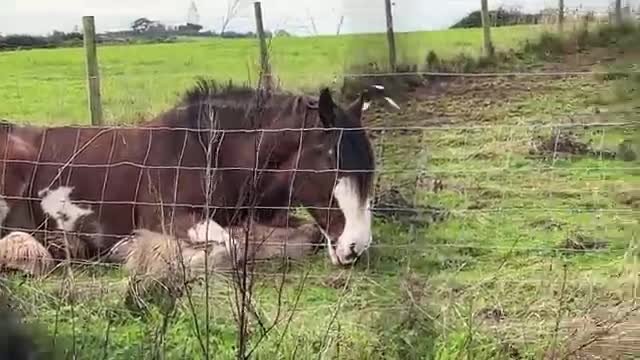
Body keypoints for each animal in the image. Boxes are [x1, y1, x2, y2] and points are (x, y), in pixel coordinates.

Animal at [1, 81, 400, 268]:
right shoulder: (169, 217)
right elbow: (228, 248)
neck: (210, 152)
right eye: (330, 159)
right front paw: (130, 251)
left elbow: (304, 235)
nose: (355, 247)